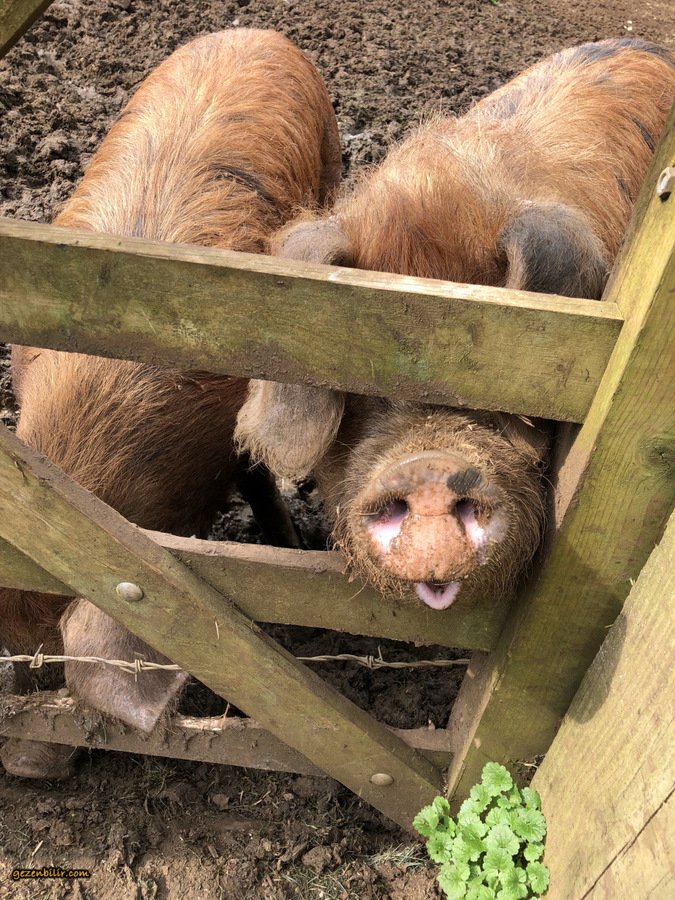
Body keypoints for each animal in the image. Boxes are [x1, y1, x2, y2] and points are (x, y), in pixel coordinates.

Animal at [1, 28, 340, 778]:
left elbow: (258, 478)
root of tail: (255, 31)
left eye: (57, 664)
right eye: (7, 655)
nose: (26, 768)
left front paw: (289, 545)